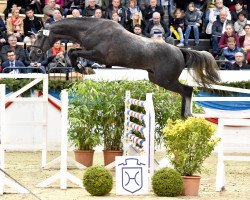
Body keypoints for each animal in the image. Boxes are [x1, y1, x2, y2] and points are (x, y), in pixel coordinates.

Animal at [29, 17, 221, 117]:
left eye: (39, 36)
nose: (32, 56)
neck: (90, 29)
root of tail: (180, 50)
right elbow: (73, 52)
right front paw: (84, 68)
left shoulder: (98, 54)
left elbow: (73, 53)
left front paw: (84, 69)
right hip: (157, 79)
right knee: (185, 91)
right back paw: (183, 115)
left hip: (165, 80)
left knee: (187, 90)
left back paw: (186, 115)